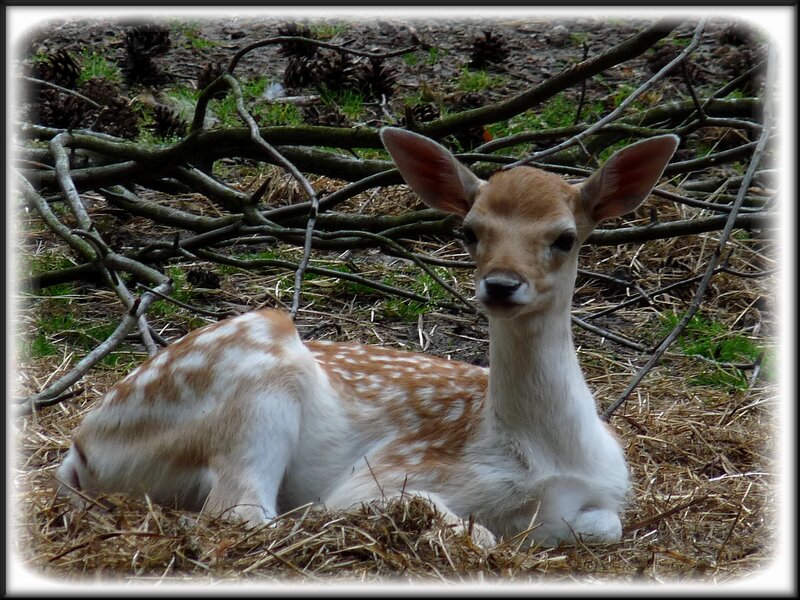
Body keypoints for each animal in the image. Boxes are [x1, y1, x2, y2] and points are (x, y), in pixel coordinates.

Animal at [56, 127, 678, 547]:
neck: (545, 453)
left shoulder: (609, 492)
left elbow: (605, 524)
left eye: (565, 237)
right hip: (258, 384)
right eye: (469, 230)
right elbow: (465, 527)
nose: (501, 284)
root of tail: (79, 448)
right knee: (238, 511)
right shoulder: (394, 469)